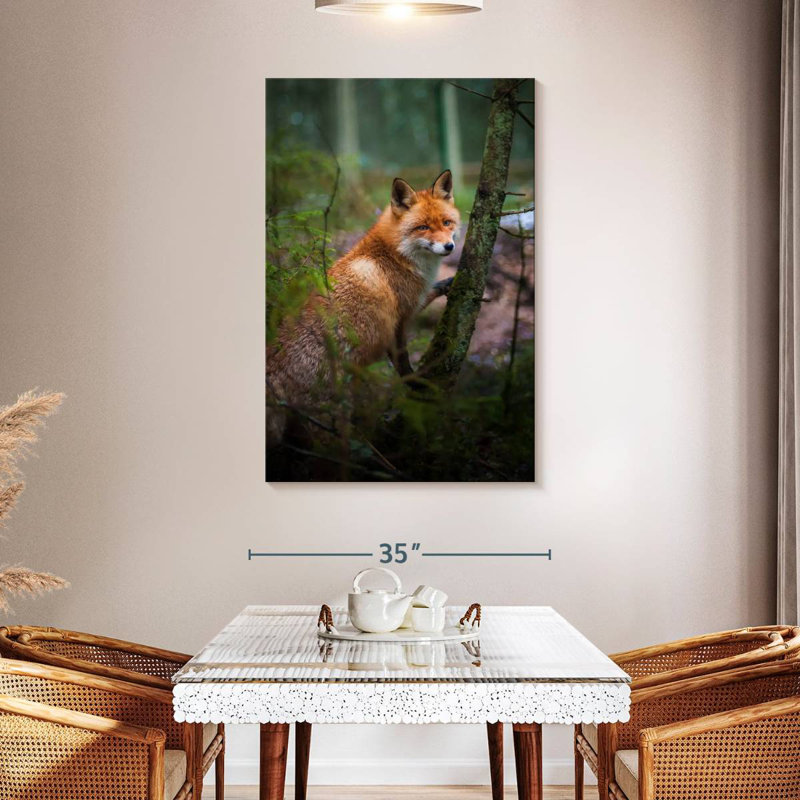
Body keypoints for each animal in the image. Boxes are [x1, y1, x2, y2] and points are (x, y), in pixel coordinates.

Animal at [267, 169, 461, 444]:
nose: (449, 246)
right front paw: (414, 383)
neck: (395, 254)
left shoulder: (412, 304)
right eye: (423, 227)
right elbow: (402, 362)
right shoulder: (398, 319)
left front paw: (449, 282)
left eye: (446, 223)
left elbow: (432, 291)